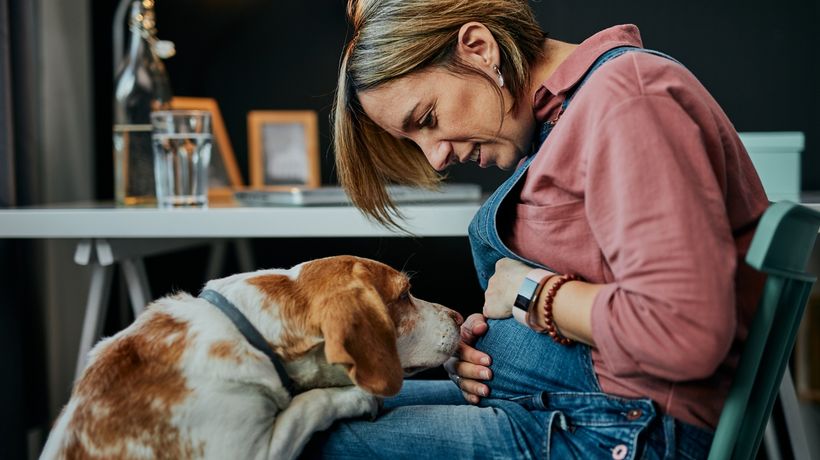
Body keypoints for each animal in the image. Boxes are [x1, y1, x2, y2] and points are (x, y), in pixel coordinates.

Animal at [41, 255, 464, 460]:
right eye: (404, 295)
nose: (460, 317)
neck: (248, 333)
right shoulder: (249, 452)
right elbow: (307, 405)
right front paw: (359, 397)